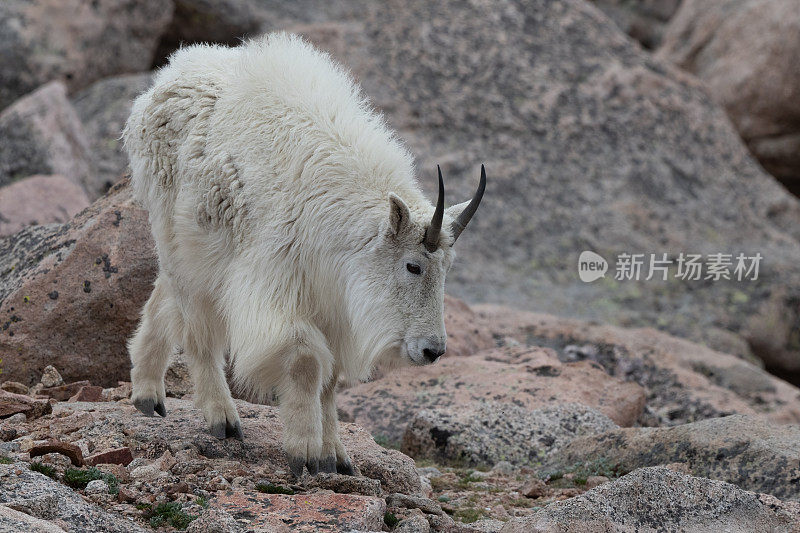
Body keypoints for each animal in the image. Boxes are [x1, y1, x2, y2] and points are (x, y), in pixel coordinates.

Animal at [124, 32, 484, 474]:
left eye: (447, 270)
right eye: (413, 266)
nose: (432, 350)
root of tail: (164, 79)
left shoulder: (336, 306)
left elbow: (330, 380)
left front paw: (338, 457)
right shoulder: (276, 283)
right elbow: (306, 361)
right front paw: (306, 452)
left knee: (164, 295)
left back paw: (147, 394)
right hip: (177, 234)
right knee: (197, 326)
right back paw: (222, 418)